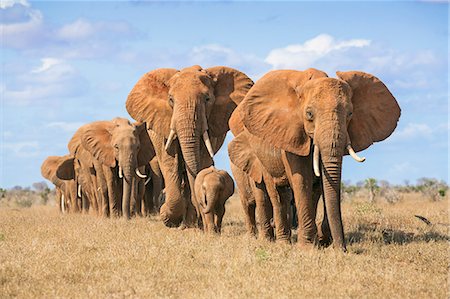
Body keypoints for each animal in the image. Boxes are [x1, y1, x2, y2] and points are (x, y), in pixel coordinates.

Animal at [126, 63, 253, 227]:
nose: (161, 209)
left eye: (207, 99)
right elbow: (169, 161)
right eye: (171, 99)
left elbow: (201, 159)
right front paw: (167, 217)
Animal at [237, 69, 400, 252]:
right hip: (262, 155)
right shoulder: (292, 134)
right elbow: (301, 180)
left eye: (350, 114)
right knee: (276, 193)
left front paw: (321, 241)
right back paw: (283, 242)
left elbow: (323, 182)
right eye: (309, 114)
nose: (342, 249)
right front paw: (307, 247)